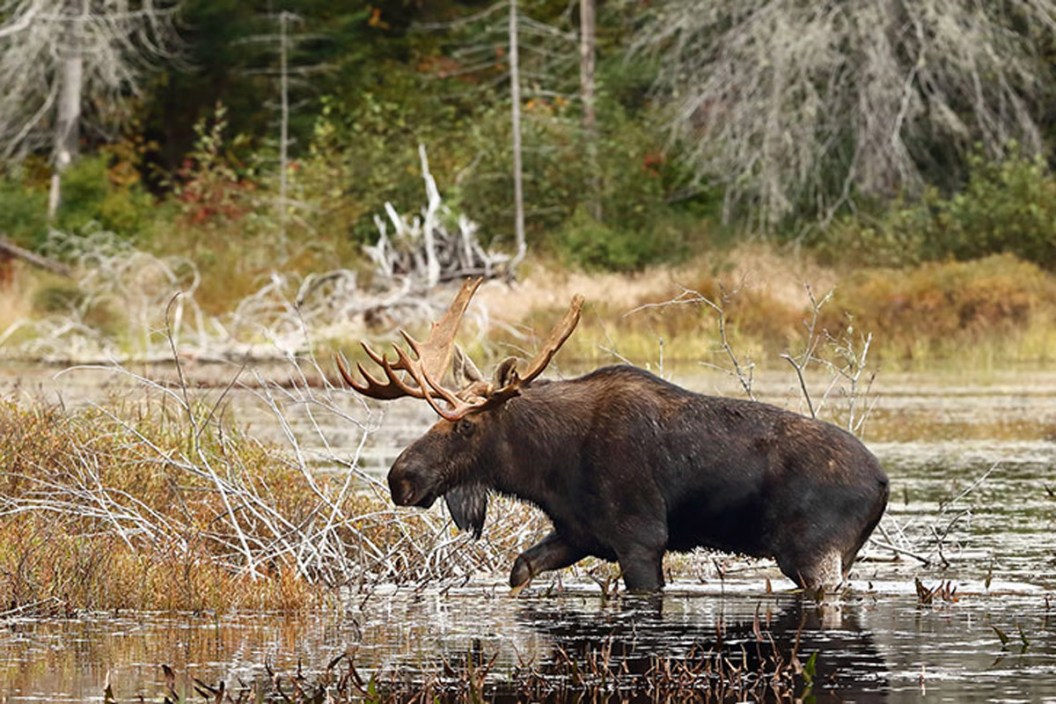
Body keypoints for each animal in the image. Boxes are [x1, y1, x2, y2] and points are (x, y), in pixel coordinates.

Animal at [338, 278, 889, 594]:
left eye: (466, 425)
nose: (401, 478)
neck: (546, 466)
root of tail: (884, 484)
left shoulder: (640, 537)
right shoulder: (579, 532)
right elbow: (520, 570)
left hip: (815, 553)